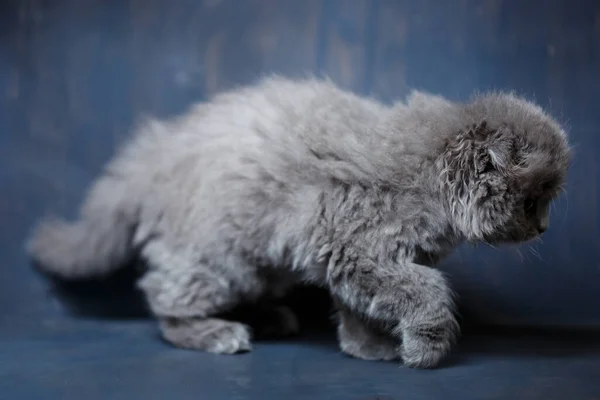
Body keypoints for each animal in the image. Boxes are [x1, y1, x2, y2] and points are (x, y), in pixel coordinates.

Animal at [28, 76, 572, 368]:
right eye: (533, 201)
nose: (545, 228)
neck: (427, 180)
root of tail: (156, 154)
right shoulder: (358, 245)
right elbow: (428, 290)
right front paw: (425, 347)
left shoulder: (350, 257)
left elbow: (358, 304)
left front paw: (367, 347)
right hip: (219, 258)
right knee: (164, 298)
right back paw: (216, 333)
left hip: (260, 264)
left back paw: (272, 319)